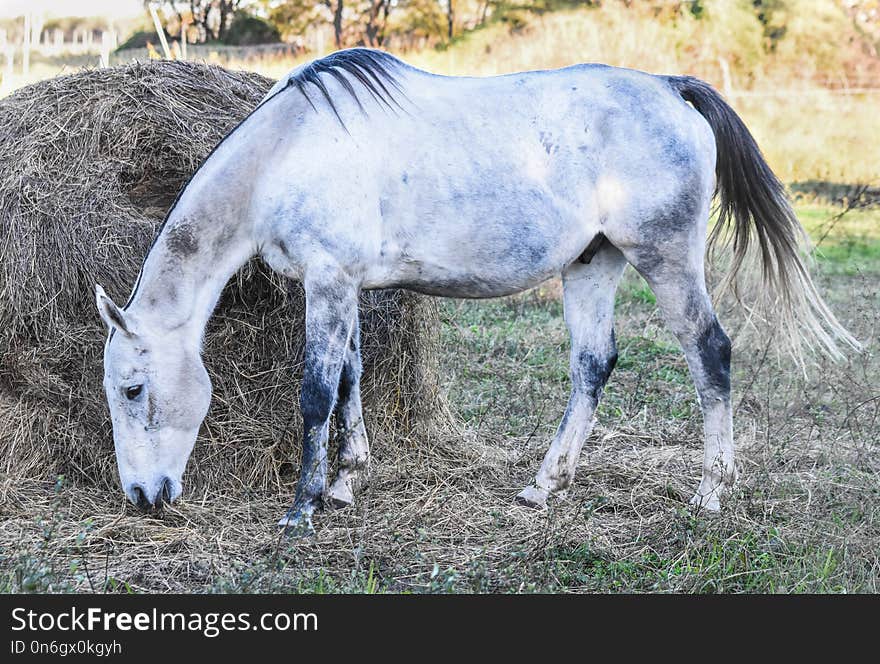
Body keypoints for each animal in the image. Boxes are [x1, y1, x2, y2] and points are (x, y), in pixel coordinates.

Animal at [94, 48, 852, 536]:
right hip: (593, 264)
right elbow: (351, 380)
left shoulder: (328, 283)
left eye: (132, 389)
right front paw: (345, 482)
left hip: (663, 261)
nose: (142, 495)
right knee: (593, 364)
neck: (288, 154)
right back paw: (544, 485)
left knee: (710, 353)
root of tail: (671, 87)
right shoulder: (346, 287)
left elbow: (316, 393)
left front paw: (303, 506)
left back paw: (711, 491)